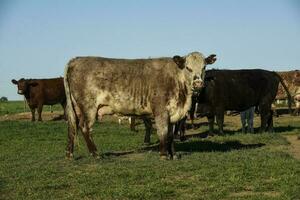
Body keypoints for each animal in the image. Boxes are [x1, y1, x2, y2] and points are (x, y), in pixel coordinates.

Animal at [64, 51, 217, 159]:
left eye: (204, 67)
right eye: (188, 68)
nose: (198, 83)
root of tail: (76, 59)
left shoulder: (173, 113)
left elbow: (170, 135)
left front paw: (173, 154)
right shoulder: (161, 110)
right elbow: (163, 132)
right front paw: (164, 155)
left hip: (77, 108)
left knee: (72, 126)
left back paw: (69, 154)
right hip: (88, 107)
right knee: (84, 127)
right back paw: (95, 154)